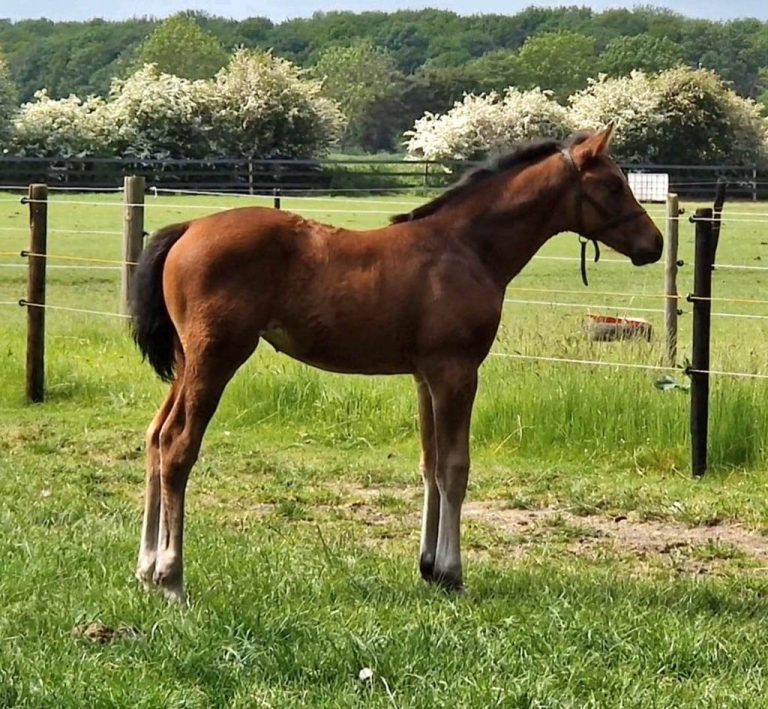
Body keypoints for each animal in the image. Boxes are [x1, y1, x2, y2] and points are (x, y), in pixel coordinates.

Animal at [131, 125, 663, 604]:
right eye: (613, 185)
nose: (653, 244)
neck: (466, 249)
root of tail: (188, 229)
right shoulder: (457, 373)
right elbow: (455, 467)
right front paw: (452, 573)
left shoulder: (426, 377)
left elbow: (430, 465)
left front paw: (428, 567)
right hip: (216, 357)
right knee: (178, 445)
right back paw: (172, 578)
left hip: (187, 360)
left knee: (155, 436)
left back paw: (146, 568)